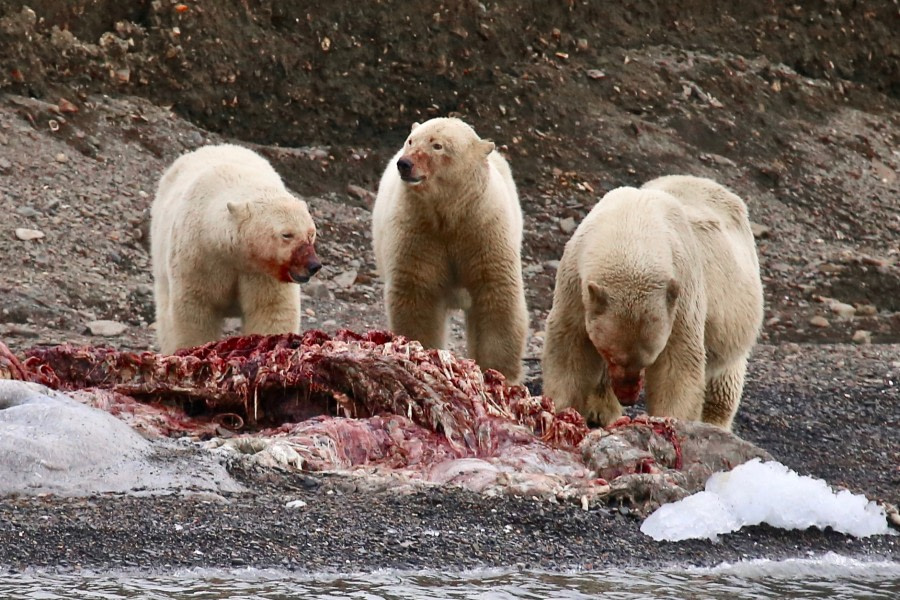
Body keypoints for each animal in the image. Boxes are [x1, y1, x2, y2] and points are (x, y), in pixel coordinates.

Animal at [152, 144, 324, 354]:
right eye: (287, 234)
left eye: (311, 233)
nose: (313, 265)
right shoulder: (198, 260)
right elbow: (194, 310)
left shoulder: (262, 273)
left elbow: (270, 309)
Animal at [536, 176, 764, 428]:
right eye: (611, 356)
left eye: (649, 360)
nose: (628, 397)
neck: (632, 226)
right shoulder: (575, 280)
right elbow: (569, 344)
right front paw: (562, 409)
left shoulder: (680, 291)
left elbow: (679, 361)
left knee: (723, 382)